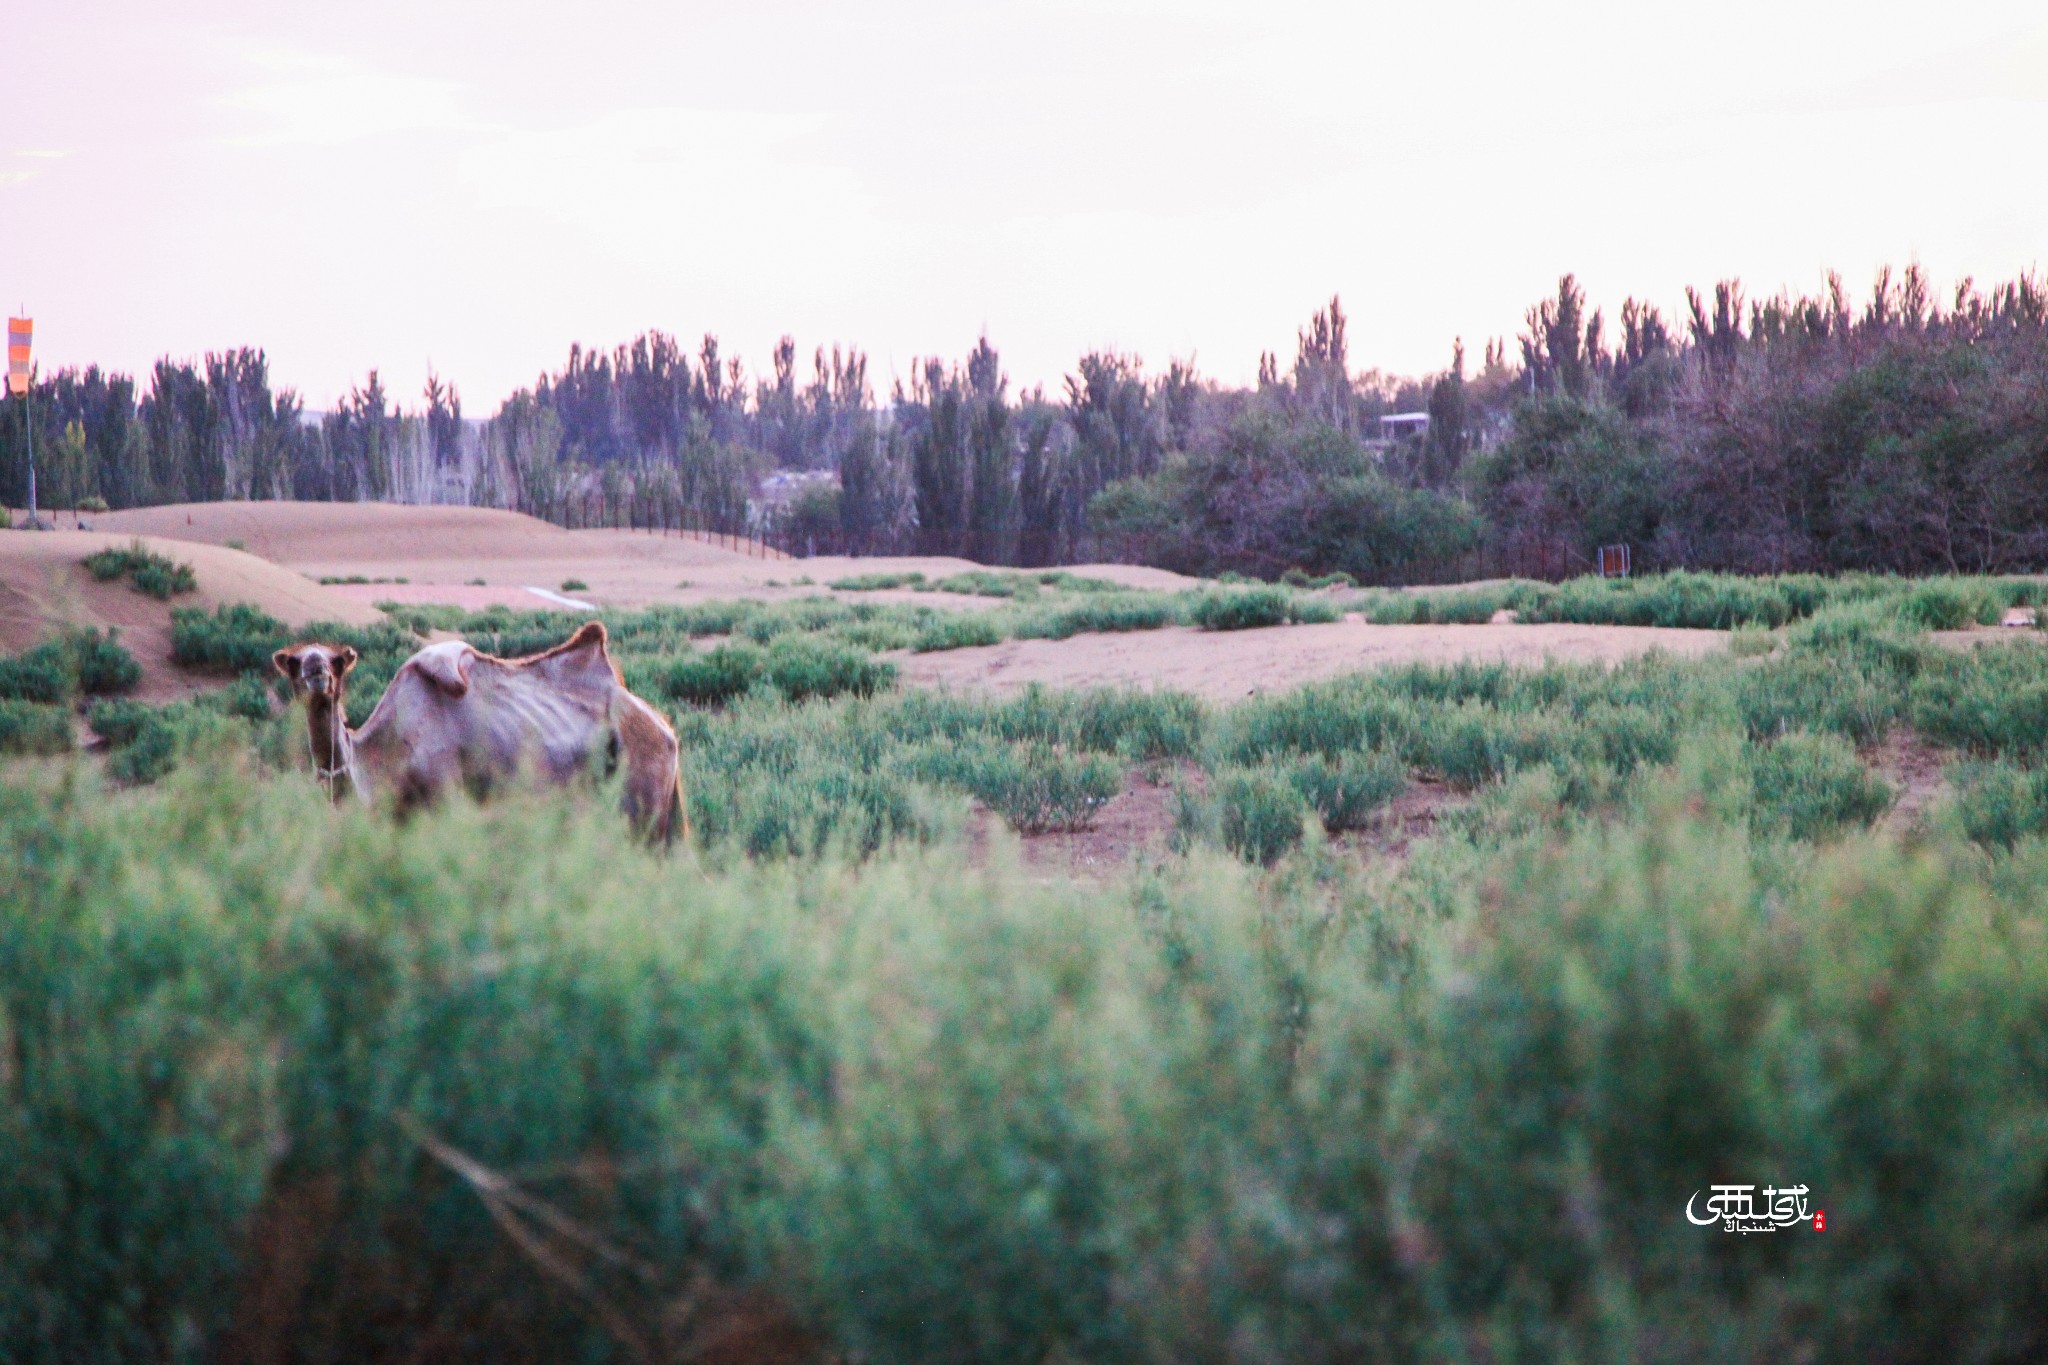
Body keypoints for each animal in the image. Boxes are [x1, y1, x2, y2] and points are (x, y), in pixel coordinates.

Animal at [272, 622, 692, 843]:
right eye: (293, 663)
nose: (317, 672)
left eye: (337, 662)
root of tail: (666, 729)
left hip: (643, 805)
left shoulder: (445, 798)